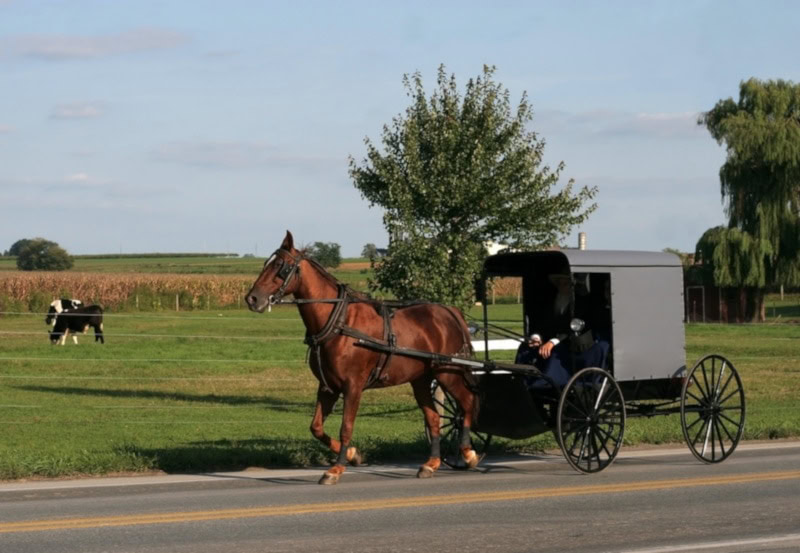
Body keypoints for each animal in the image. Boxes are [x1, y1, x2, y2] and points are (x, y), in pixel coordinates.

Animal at [245, 231, 480, 485]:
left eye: (281, 266)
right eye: (267, 263)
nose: (252, 299)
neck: (339, 322)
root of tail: (450, 312)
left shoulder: (353, 386)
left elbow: (346, 426)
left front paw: (336, 469)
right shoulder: (328, 386)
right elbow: (316, 427)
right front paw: (352, 454)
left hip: (448, 373)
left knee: (467, 403)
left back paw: (468, 453)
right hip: (421, 379)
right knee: (434, 418)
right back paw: (431, 464)